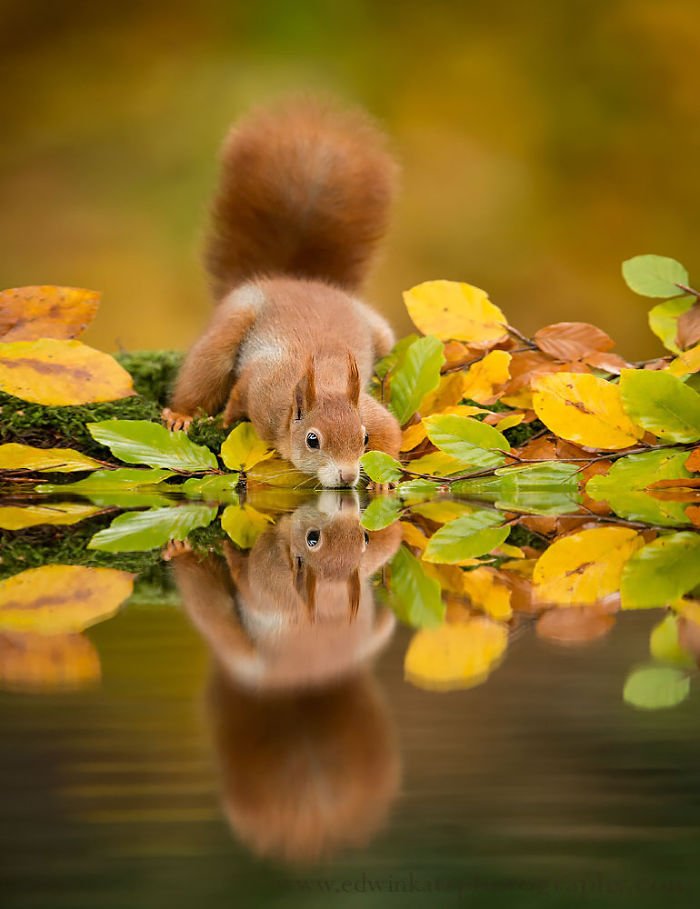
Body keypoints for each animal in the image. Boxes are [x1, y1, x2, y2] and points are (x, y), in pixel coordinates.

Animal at [164, 97, 402, 490]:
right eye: (312, 440)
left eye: (363, 437)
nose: (347, 475)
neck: (322, 380)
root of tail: (291, 279)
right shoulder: (261, 388)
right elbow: (238, 394)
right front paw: (225, 420)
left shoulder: (369, 410)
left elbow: (393, 430)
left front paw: (384, 479)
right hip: (230, 325)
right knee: (205, 371)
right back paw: (181, 414)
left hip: (381, 334)